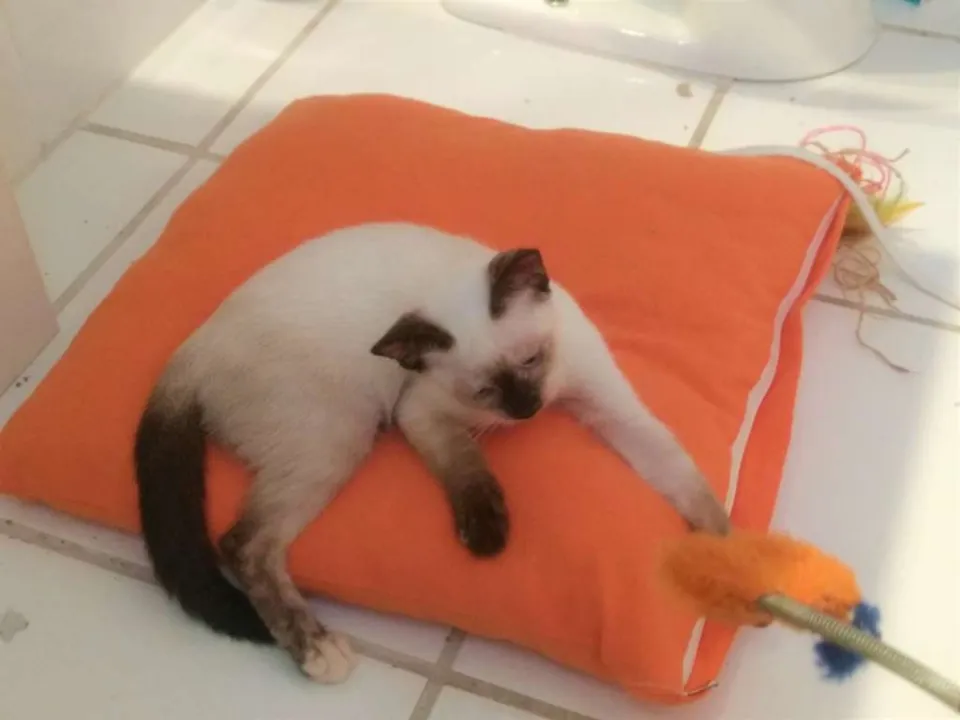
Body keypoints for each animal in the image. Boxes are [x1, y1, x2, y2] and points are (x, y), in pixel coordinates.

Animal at [135, 222, 730, 683]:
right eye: (484, 390)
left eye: (531, 360)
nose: (528, 410)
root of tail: (193, 348)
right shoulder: (421, 412)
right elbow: (468, 470)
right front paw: (487, 535)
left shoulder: (611, 407)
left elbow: (687, 482)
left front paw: (727, 561)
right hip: (341, 433)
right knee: (243, 544)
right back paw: (319, 652)